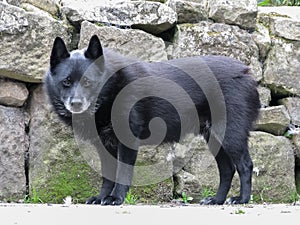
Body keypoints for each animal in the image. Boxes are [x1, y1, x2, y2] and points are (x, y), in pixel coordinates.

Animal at [44, 34, 260, 206]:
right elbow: (108, 176)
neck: (110, 90)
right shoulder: (104, 146)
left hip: (230, 135)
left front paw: (116, 198)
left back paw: (242, 200)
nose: (76, 104)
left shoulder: (127, 142)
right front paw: (101, 197)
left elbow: (122, 173)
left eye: (88, 82)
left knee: (245, 165)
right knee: (227, 169)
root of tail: (247, 72)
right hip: (214, 138)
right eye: (66, 82)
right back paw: (217, 200)